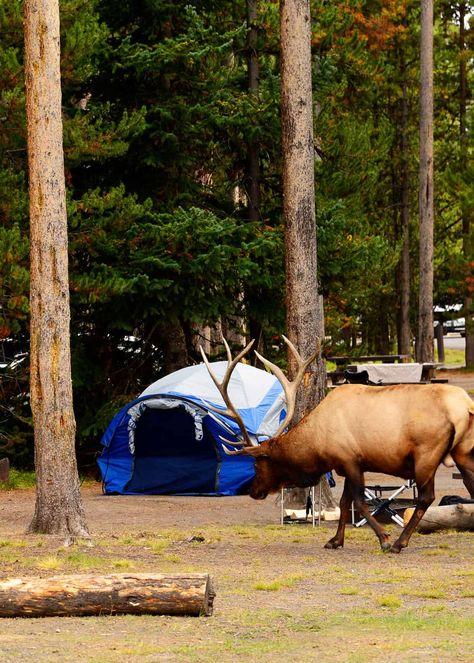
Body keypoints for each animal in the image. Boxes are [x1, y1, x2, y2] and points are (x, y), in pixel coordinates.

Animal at [200, 340, 474, 552]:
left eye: (257, 464)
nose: (253, 491)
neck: (317, 444)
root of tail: (465, 406)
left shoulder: (349, 459)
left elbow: (359, 503)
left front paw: (384, 539)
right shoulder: (346, 465)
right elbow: (344, 503)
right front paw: (335, 540)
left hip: (426, 454)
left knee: (427, 497)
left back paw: (399, 542)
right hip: (462, 453)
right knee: (470, 487)